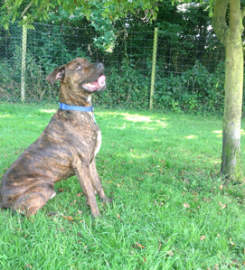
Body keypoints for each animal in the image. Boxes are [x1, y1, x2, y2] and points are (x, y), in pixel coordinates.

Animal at [0, 57, 111, 217]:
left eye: (87, 61)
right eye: (78, 67)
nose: (101, 64)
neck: (77, 109)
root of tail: (1, 199)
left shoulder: (91, 161)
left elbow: (97, 183)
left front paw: (105, 201)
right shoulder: (81, 164)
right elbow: (90, 192)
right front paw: (96, 216)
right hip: (44, 187)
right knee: (23, 212)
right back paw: (53, 216)